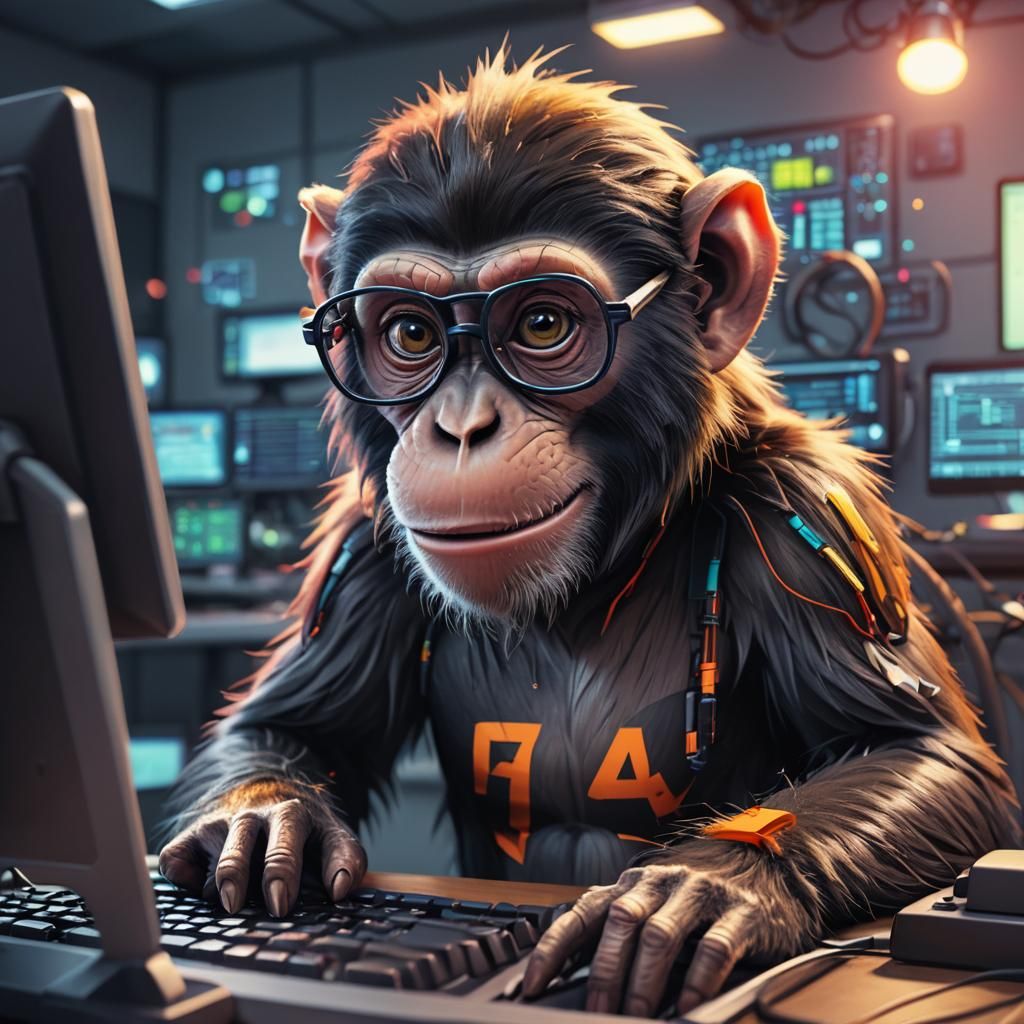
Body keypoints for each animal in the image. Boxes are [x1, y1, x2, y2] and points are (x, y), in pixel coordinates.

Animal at [159, 48, 1021, 1017]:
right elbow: (288, 727)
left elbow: (921, 750)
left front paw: (705, 888)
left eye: (542, 323)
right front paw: (263, 816)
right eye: (411, 334)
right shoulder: (365, 544)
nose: (461, 428)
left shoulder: (807, 515)